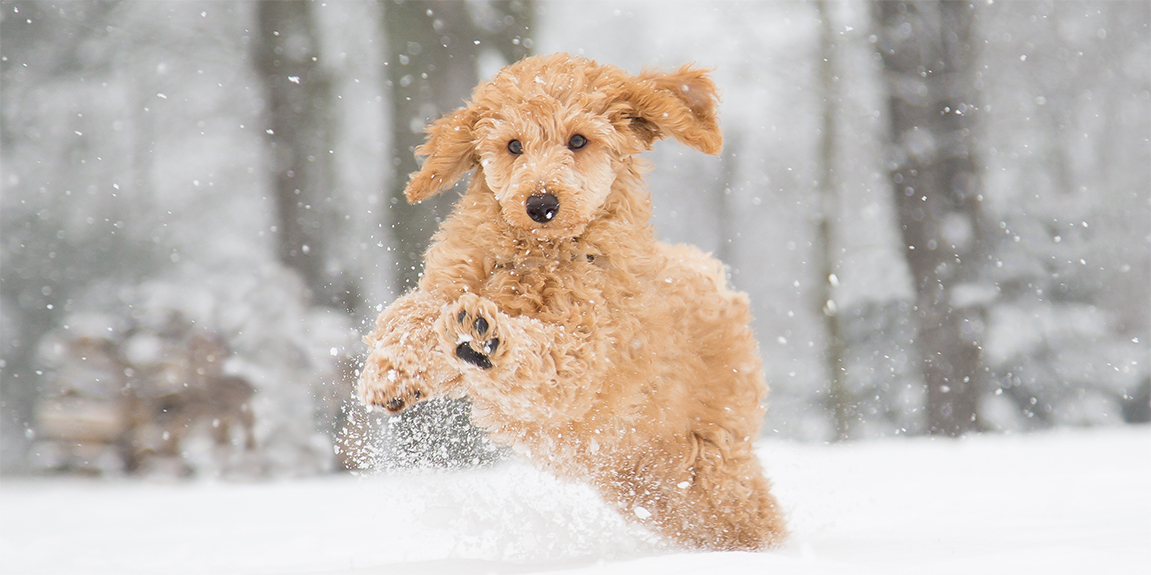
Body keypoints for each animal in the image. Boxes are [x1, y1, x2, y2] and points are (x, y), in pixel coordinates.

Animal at [359, 54, 787, 552]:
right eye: (513, 145)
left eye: (578, 140)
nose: (541, 203)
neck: (538, 254)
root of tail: (715, 281)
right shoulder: (452, 282)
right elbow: (411, 313)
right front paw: (389, 375)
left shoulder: (586, 353)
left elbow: (545, 353)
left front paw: (487, 338)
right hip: (643, 479)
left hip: (708, 460)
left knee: (749, 514)